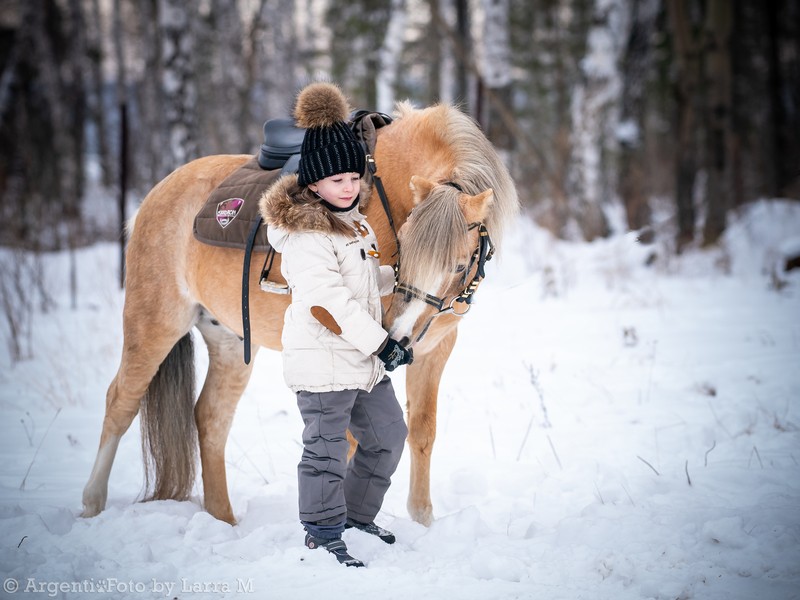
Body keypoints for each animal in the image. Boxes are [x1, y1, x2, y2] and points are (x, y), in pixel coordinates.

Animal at [79, 101, 520, 528]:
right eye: (406, 247)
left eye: (459, 265)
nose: (397, 336)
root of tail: (154, 196)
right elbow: (351, 442)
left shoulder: (435, 348)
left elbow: (423, 432)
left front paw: (423, 520)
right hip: (154, 322)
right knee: (120, 403)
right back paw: (91, 505)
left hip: (230, 342)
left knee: (210, 419)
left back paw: (223, 520)